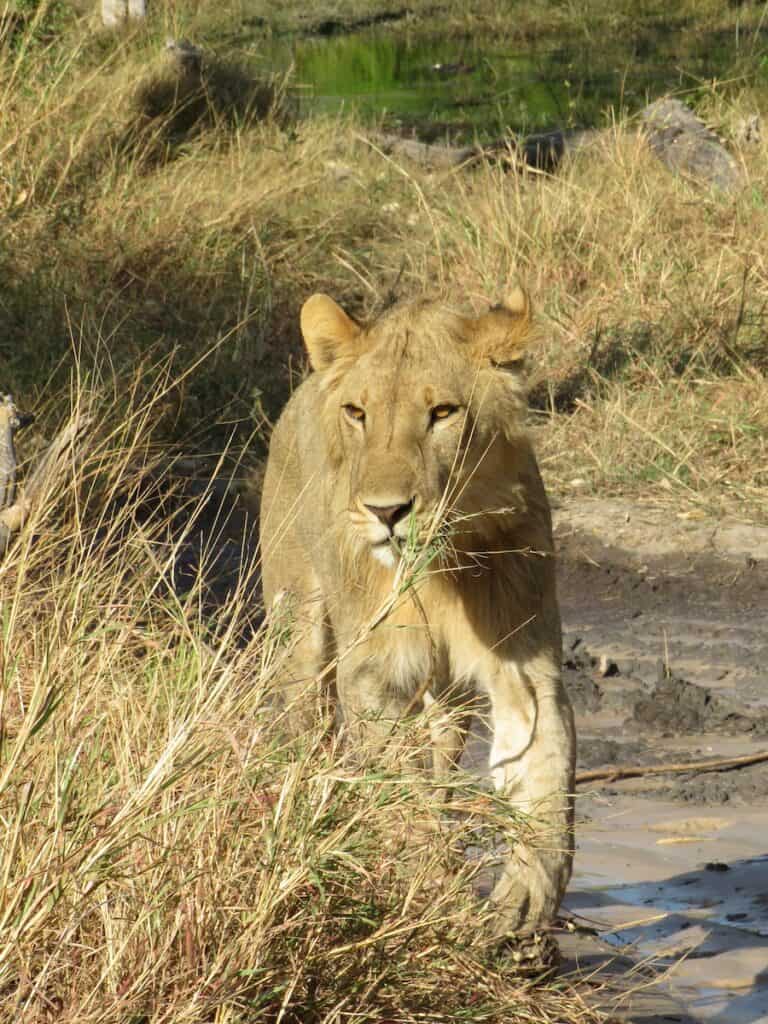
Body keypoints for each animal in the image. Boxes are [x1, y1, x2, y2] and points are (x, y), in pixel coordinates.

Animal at [262, 282, 573, 937]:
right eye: (358, 413)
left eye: (443, 414)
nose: (386, 512)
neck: (440, 571)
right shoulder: (374, 673)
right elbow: (393, 775)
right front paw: (416, 869)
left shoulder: (528, 660)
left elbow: (548, 775)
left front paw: (527, 895)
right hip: (299, 636)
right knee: (311, 723)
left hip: (450, 702)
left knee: (442, 757)